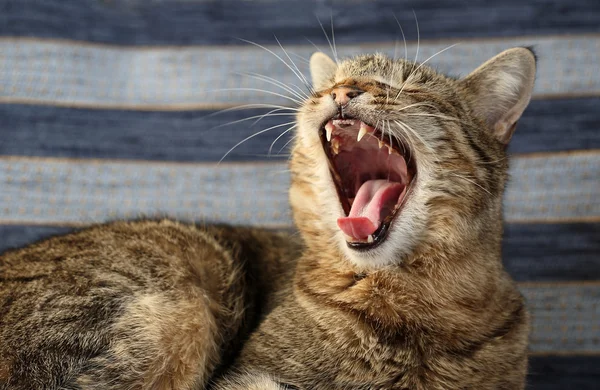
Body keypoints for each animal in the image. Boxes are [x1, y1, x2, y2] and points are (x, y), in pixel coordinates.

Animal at [0, 46, 536, 390]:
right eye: (331, 82)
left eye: (405, 84)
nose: (343, 90)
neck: (413, 300)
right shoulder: (250, 378)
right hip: (179, 305)